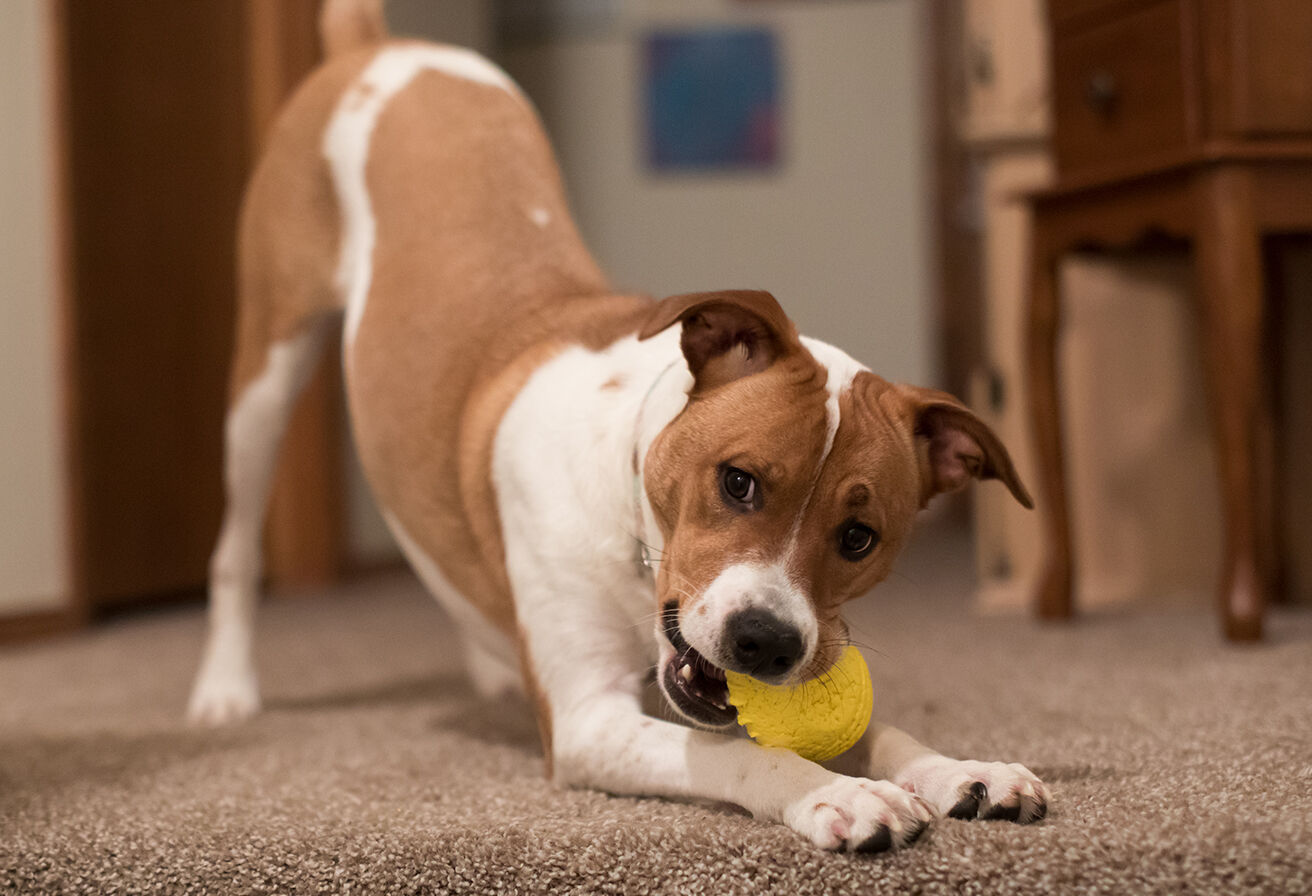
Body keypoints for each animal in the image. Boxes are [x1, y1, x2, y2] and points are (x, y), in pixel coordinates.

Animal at [190, 1, 1049, 855]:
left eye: (860, 537)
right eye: (738, 482)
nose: (766, 642)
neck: (631, 522)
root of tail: (378, 47)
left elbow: (882, 729)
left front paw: (960, 769)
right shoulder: (588, 720)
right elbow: (737, 753)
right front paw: (836, 794)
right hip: (265, 374)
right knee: (235, 547)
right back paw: (225, 690)